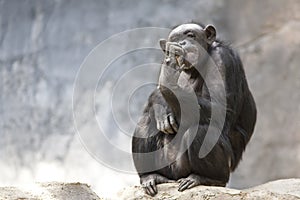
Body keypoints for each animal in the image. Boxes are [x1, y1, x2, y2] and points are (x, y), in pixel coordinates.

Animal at [132, 22, 256, 196]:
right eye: (174, 39)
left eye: (190, 35)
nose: (181, 44)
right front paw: (161, 106)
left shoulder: (222, 59)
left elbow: (220, 109)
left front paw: (168, 70)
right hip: (168, 168)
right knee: (145, 122)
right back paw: (150, 175)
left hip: (195, 169)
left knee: (201, 130)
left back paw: (207, 178)